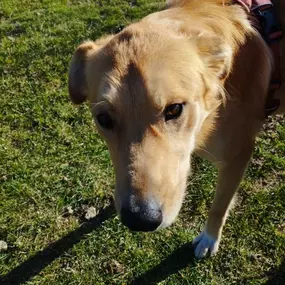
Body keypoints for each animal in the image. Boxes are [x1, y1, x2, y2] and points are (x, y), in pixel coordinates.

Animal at [67, 0, 282, 258]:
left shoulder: (238, 157)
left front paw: (210, 238)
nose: (140, 219)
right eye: (104, 119)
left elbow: (219, 205)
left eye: (175, 109)